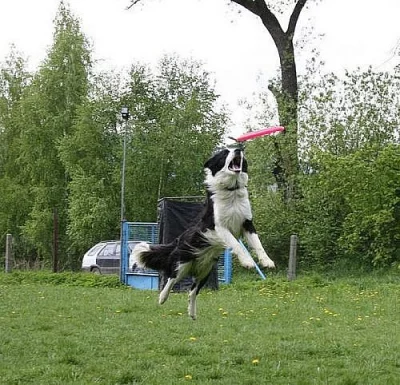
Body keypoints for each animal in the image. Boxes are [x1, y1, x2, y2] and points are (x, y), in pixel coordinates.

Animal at [131, 147, 276, 318]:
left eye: (237, 151)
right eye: (225, 153)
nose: (239, 149)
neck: (231, 190)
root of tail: (177, 241)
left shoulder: (247, 224)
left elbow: (258, 245)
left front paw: (267, 261)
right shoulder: (219, 227)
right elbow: (236, 245)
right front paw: (247, 262)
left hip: (205, 271)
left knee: (192, 291)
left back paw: (192, 314)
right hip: (182, 262)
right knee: (171, 279)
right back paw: (162, 298)